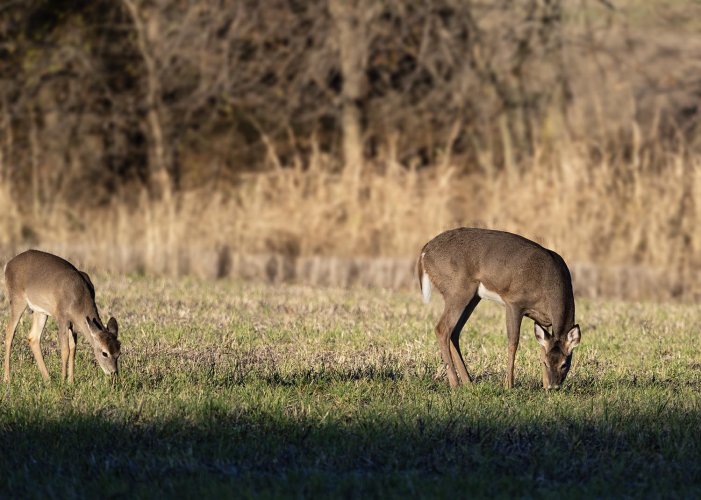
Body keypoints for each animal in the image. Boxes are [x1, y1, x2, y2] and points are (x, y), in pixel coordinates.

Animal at [2, 250, 120, 382]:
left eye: (118, 353)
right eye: (104, 353)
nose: (114, 373)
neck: (79, 300)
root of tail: (8, 264)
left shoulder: (73, 323)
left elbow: (73, 347)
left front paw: (71, 381)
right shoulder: (62, 317)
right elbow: (65, 349)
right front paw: (63, 380)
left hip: (41, 311)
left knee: (33, 337)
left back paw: (48, 379)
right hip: (17, 299)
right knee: (9, 331)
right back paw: (7, 378)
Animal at [416, 228, 580, 390]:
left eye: (564, 364)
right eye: (547, 363)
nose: (553, 387)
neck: (549, 287)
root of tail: (425, 251)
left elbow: (541, 347)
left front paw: (543, 386)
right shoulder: (514, 302)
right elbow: (513, 342)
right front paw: (509, 385)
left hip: (472, 297)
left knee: (454, 331)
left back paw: (468, 383)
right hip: (457, 290)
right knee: (442, 328)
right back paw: (455, 384)